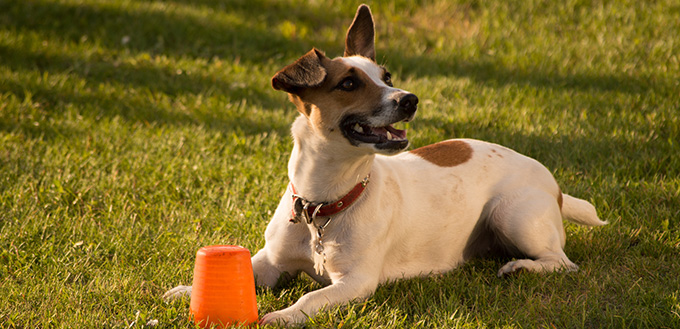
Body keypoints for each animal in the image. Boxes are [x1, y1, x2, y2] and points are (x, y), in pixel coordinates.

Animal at [165, 3, 604, 324]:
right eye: (348, 83)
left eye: (387, 76)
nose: (409, 99)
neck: (325, 204)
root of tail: (554, 185)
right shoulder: (269, 263)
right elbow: (249, 272)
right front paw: (188, 292)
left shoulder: (355, 282)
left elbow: (309, 298)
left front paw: (282, 315)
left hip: (511, 214)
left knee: (564, 264)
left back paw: (521, 267)